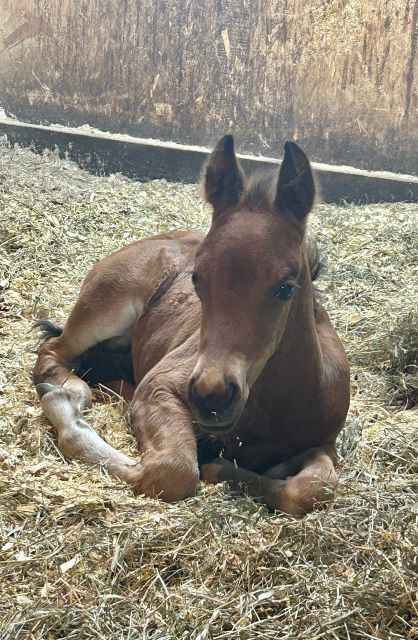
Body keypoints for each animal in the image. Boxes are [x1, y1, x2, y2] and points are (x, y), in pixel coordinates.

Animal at [34, 136, 352, 516]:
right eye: (197, 278)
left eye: (285, 287)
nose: (211, 396)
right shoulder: (161, 386)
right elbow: (173, 472)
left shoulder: (326, 443)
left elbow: (312, 489)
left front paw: (231, 469)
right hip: (105, 308)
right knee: (54, 352)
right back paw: (67, 393)